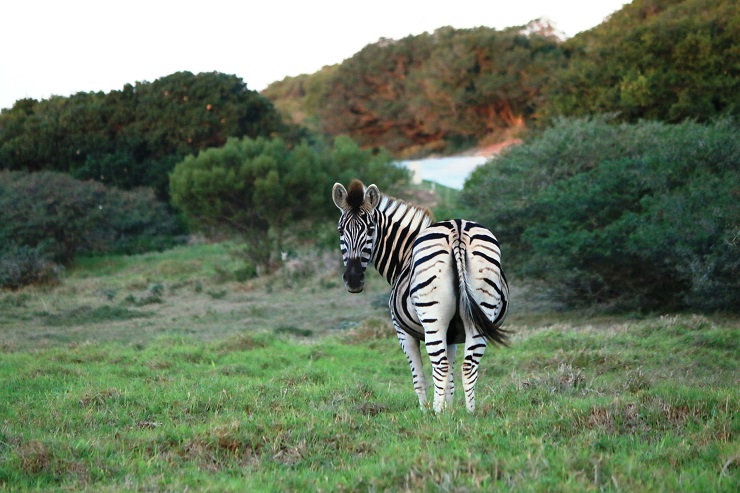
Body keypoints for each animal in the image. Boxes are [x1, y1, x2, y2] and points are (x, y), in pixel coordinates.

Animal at [332, 178, 506, 412]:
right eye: (341, 230)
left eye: (370, 229)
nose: (353, 279)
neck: (405, 254)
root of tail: (457, 231)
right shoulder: (452, 335)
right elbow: (451, 379)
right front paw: (450, 410)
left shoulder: (402, 332)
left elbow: (419, 377)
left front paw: (426, 411)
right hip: (481, 314)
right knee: (468, 366)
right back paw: (469, 413)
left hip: (433, 317)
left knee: (440, 365)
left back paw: (435, 413)